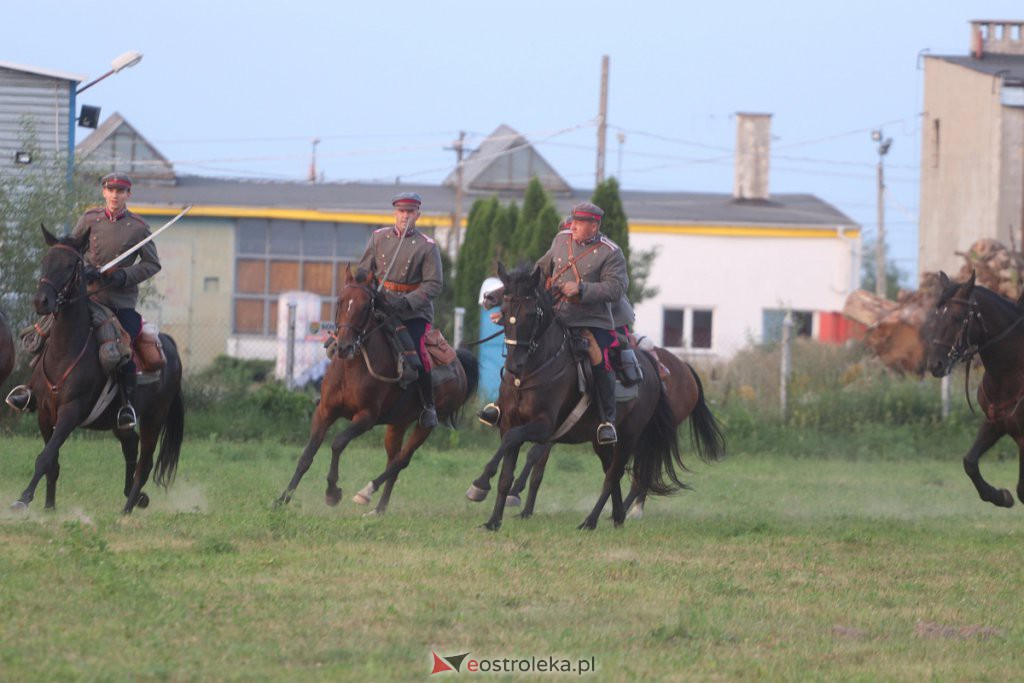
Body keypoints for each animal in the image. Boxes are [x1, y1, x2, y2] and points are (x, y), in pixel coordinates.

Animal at [10, 227, 184, 516]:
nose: (41, 301)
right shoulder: (45, 414)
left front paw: (23, 499)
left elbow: (45, 457)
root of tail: (169, 345)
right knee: (131, 445)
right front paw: (49, 507)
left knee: (144, 463)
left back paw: (126, 510)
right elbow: (52, 462)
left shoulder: (70, 413)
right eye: (45, 260)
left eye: (71, 265)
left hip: (154, 418)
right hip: (120, 422)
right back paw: (135, 498)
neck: (65, 351)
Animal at [280, 264, 479, 516]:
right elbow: (307, 455)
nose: (344, 347)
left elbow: (337, 443)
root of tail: (458, 362)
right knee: (394, 460)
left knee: (402, 461)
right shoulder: (324, 411)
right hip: (397, 424)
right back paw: (379, 509)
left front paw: (332, 492)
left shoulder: (366, 418)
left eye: (366, 306)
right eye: (340, 301)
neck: (352, 368)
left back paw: (366, 492)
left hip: (425, 425)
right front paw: (282, 499)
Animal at [468, 342, 724, 518]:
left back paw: (628, 510)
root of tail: (686, 370)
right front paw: (524, 507)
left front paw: (511, 493)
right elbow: (537, 466)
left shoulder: (550, 427)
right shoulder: (550, 431)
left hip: (643, 437)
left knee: (640, 471)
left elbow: (532, 456)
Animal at [473, 264, 688, 532]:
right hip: (601, 442)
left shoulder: (543, 427)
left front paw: (480, 484)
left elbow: (516, 444)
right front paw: (493, 520)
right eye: (505, 311)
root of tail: (650, 365)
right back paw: (616, 516)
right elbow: (506, 471)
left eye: (532, 314)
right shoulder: (509, 423)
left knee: (613, 475)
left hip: (629, 437)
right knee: (611, 471)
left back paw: (591, 520)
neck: (529, 373)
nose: (514, 364)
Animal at [925, 270, 1024, 507]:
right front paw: (1000, 496)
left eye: (956, 318)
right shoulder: (995, 422)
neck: (1011, 372)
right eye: (937, 315)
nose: (935, 364)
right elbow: (969, 462)